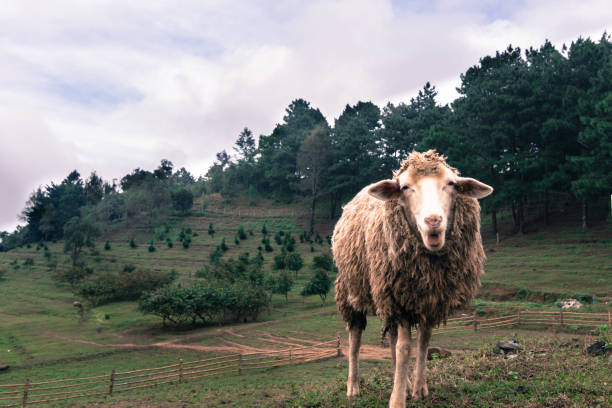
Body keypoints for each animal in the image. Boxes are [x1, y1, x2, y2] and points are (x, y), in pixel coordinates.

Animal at [332, 151, 490, 408]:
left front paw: (419, 388)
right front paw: (397, 400)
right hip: (351, 289)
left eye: (451, 184)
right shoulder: (401, 299)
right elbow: (405, 348)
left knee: (392, 336)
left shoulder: (430, 299)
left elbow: (423, 342)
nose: (433, 220)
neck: (428, 269)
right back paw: (353, 387)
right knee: (355, 337)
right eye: (405, 187)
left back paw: (404, 382)